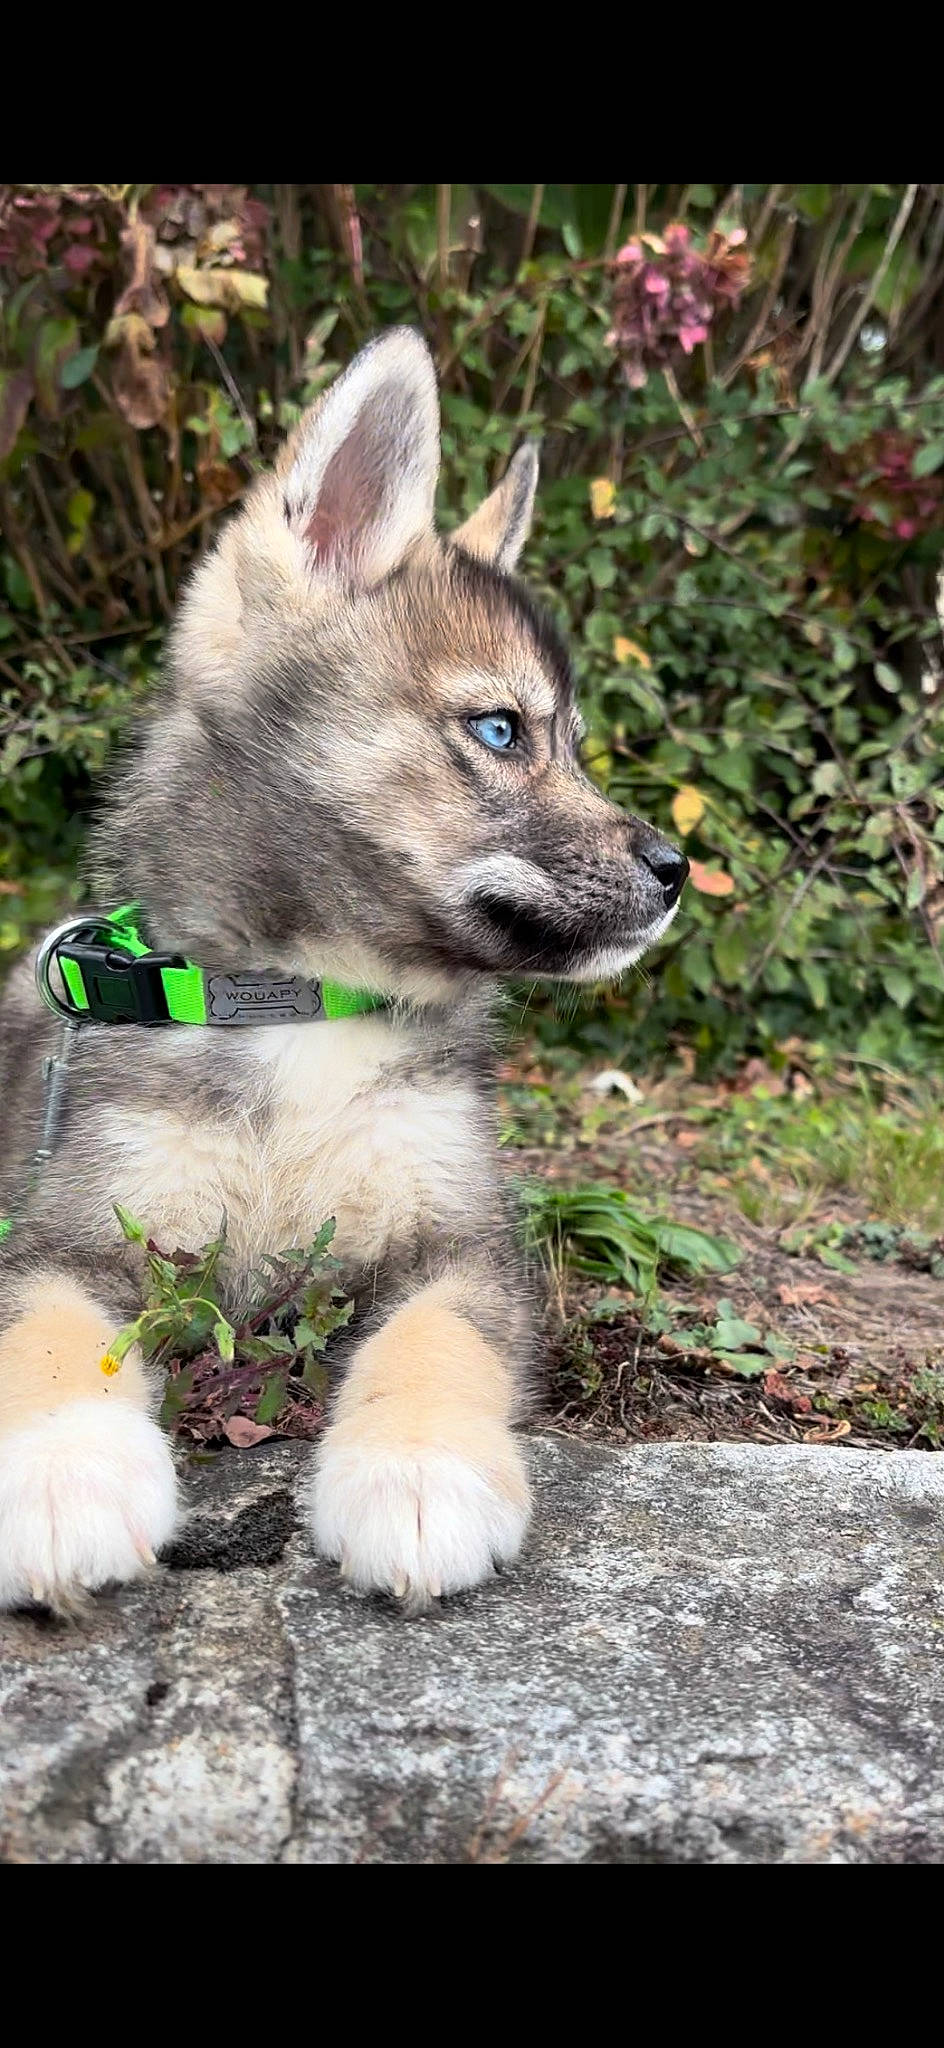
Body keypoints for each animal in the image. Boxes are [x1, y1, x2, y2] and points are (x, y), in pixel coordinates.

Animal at [0, 327, 687, 1616]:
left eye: (568, 743)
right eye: (500, 730)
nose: (675, 869)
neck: (306, 998)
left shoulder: (462, 1245)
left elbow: (431, 1339)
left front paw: (416, 1471)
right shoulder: (69, 1234)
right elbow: (51, 1331)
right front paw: (58, 1468)